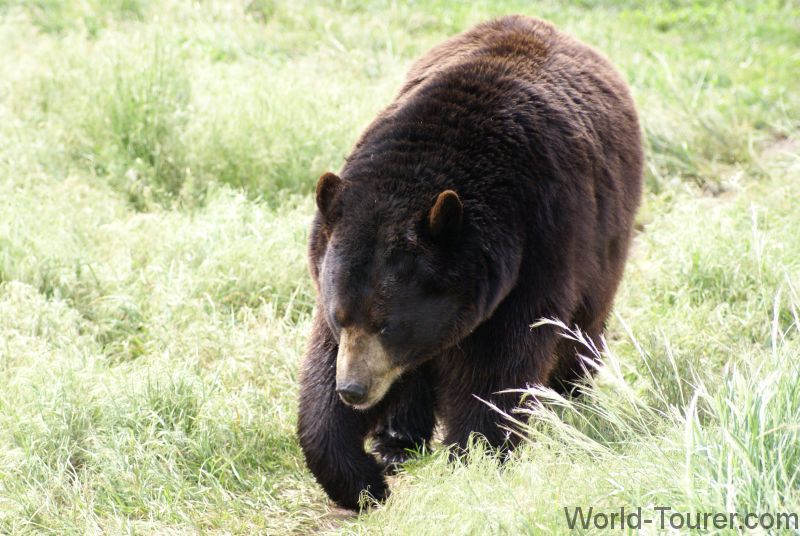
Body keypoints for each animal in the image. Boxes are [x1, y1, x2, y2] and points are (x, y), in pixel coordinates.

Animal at [297, 15, 643, 510]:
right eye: (339, 315)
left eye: (389, 325)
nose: (354, 390)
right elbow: (323, 373)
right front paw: (361, 478)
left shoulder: (534, 255)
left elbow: (497, 369)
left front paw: (474, 457)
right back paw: (396, 438)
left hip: (603, 245)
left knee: (581, 331)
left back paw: (569, 400)